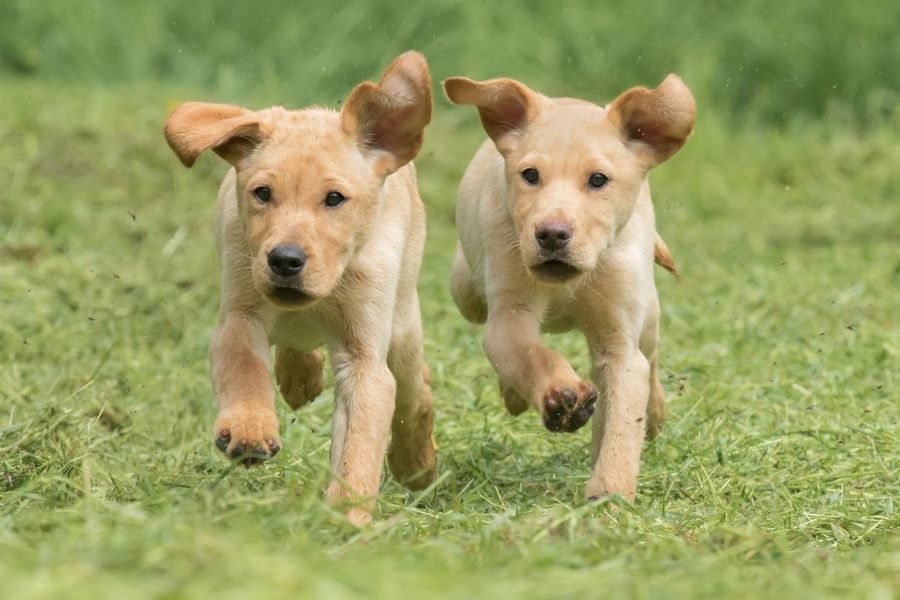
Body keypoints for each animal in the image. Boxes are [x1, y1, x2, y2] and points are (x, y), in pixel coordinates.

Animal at [168, 51, 440, 524]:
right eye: (262, 193)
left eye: (334, 199)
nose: (285, 260)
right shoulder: (239, 314)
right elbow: (244, 368)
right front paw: (249, 429)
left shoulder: (364, 356)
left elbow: (357, 447)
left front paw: (346, 518)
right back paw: (299, 378)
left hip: (403, 325)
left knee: (415, 393)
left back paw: (417, 464)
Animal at [444, 72, 696, 500]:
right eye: (530, 175)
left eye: (598, 179)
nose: (551, 234)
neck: (571, 282)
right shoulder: (510, 316)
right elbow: (529, 354)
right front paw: (562, 397)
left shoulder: (619, 342)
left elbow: (621, 420)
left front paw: (610, 491)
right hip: (465, 289)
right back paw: (515, 395)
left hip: (648, 314)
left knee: (650, 360)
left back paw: (656, 411)